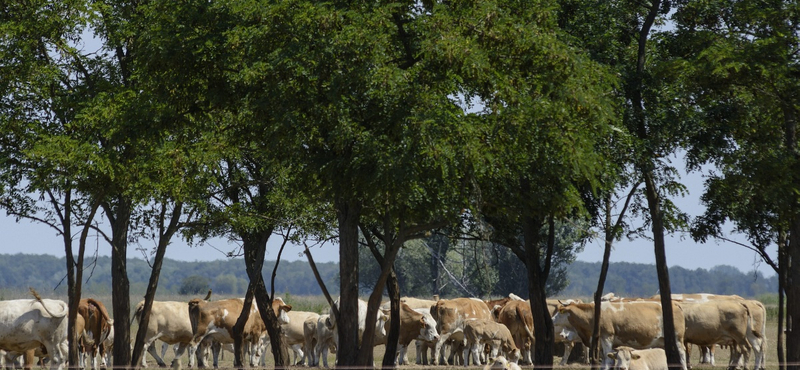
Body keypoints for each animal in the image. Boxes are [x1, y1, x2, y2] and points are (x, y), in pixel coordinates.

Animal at [552, 300, 688, 370]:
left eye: (559, 312)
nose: (552, 320)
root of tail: (675, 304)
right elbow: (607, 359)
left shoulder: (607, 337)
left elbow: (607, 360)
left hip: (677, 339)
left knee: (682, 356)